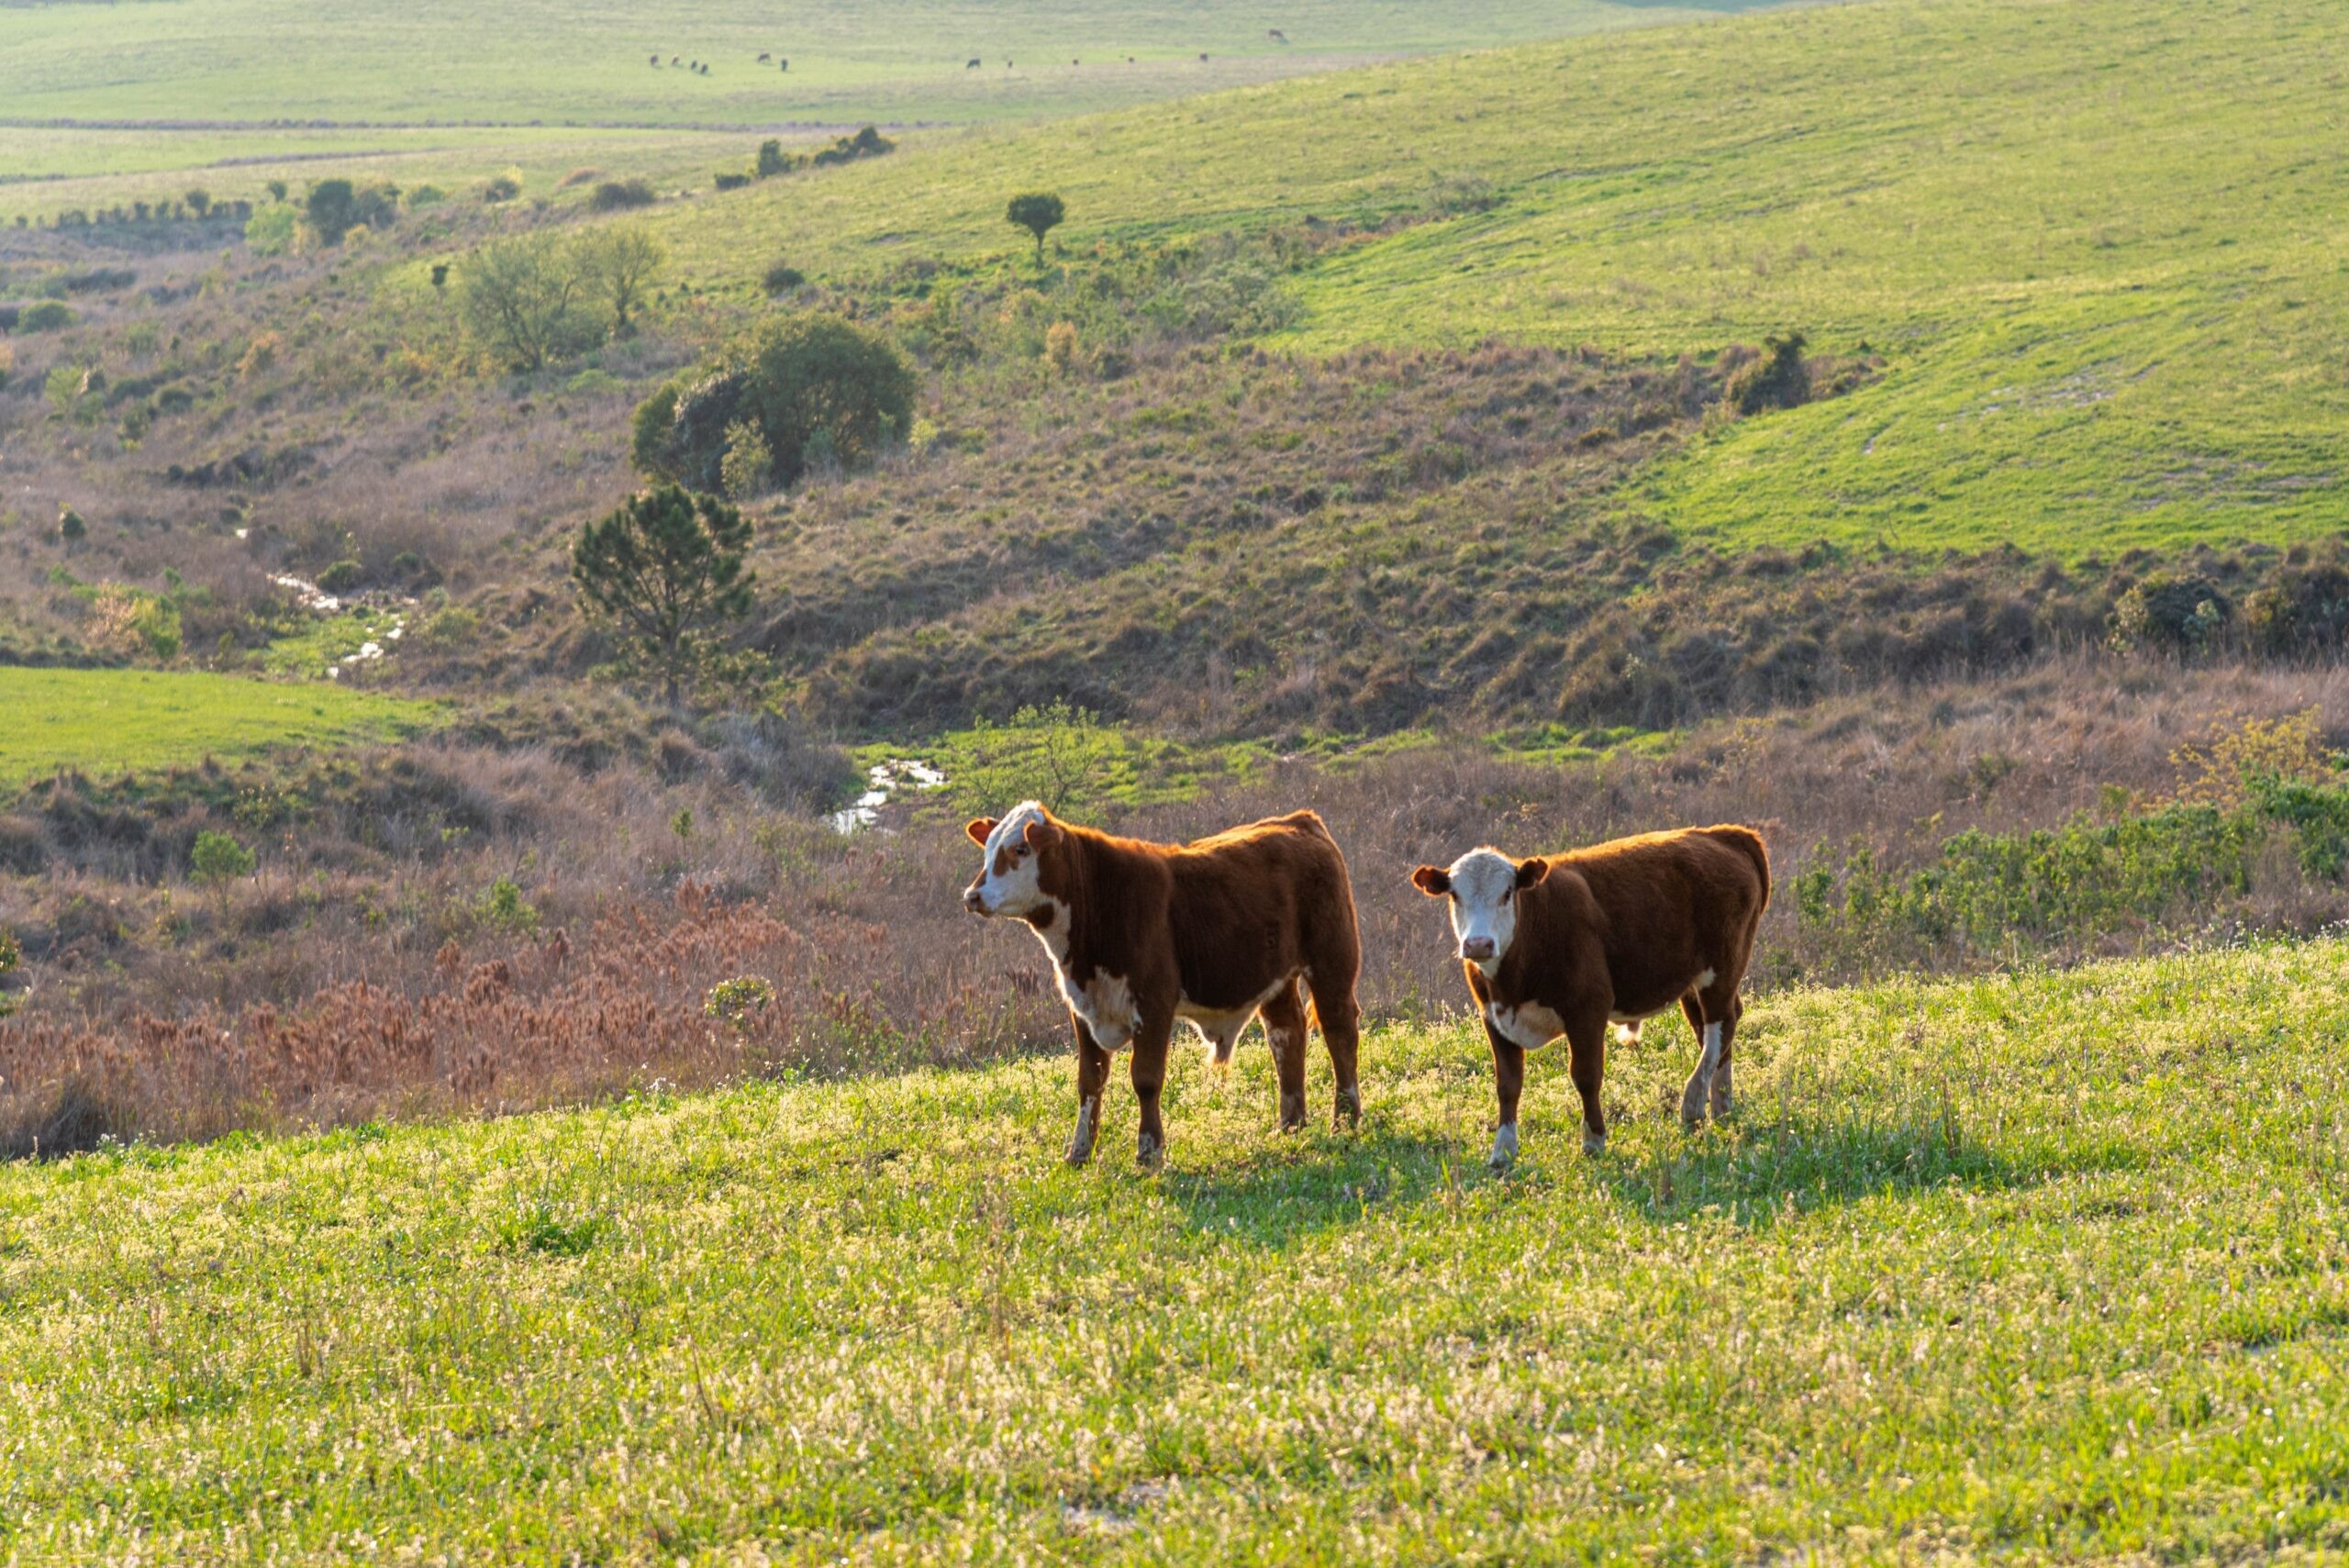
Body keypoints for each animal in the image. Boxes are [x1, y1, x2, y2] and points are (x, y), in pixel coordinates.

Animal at [965, 801, 1365, 1168]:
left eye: (1020, 849)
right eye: (988, 848)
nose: (972, 896)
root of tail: (1299, 821)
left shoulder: (1154, 1004)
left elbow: (1145, 1078)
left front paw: (1148, 1152)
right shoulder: (1083, 1009)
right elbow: (1089, 1081)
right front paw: (1078, 1153)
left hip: (1332, 961)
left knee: (1339, 1030)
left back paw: (1345, 1119)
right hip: (1276, 978)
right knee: (1286, 1034)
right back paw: (1290, 1125)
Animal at [1412, 825, 1769, 1169]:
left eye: (1507, 893)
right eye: (1455, 895)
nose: (1478, 944)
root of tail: (1725, 834)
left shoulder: (1587, 1009)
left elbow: (1586, 1075)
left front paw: (1594, 1140)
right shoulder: (1494, 1017)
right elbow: (1508, 1084)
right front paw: (1503, 1151)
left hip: (1722, 968)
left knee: (1720, 1025)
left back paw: (1693, 1103)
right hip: (1692, 981)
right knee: (1712, 1032)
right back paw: (1720, 1106)